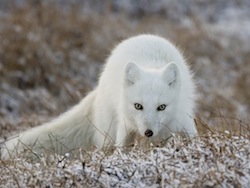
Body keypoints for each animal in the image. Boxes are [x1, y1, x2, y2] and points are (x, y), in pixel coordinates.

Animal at [1, 34, 197, 159]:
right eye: (138, 106)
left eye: (161, 107)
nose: (148, 132)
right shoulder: (125, 125)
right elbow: (122, 148)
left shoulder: (183, 120)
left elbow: (192, 139)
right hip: (109, 129)